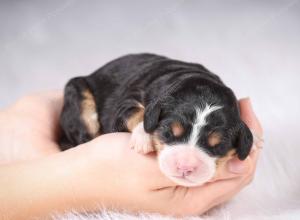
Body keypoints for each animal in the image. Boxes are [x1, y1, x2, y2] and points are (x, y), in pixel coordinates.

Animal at [59, 52, 253, 186]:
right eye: (168, 132)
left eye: (218, 146)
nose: (185, 167)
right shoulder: (126, 104)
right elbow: (137, 112)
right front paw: (143, 137)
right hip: (78, 94)